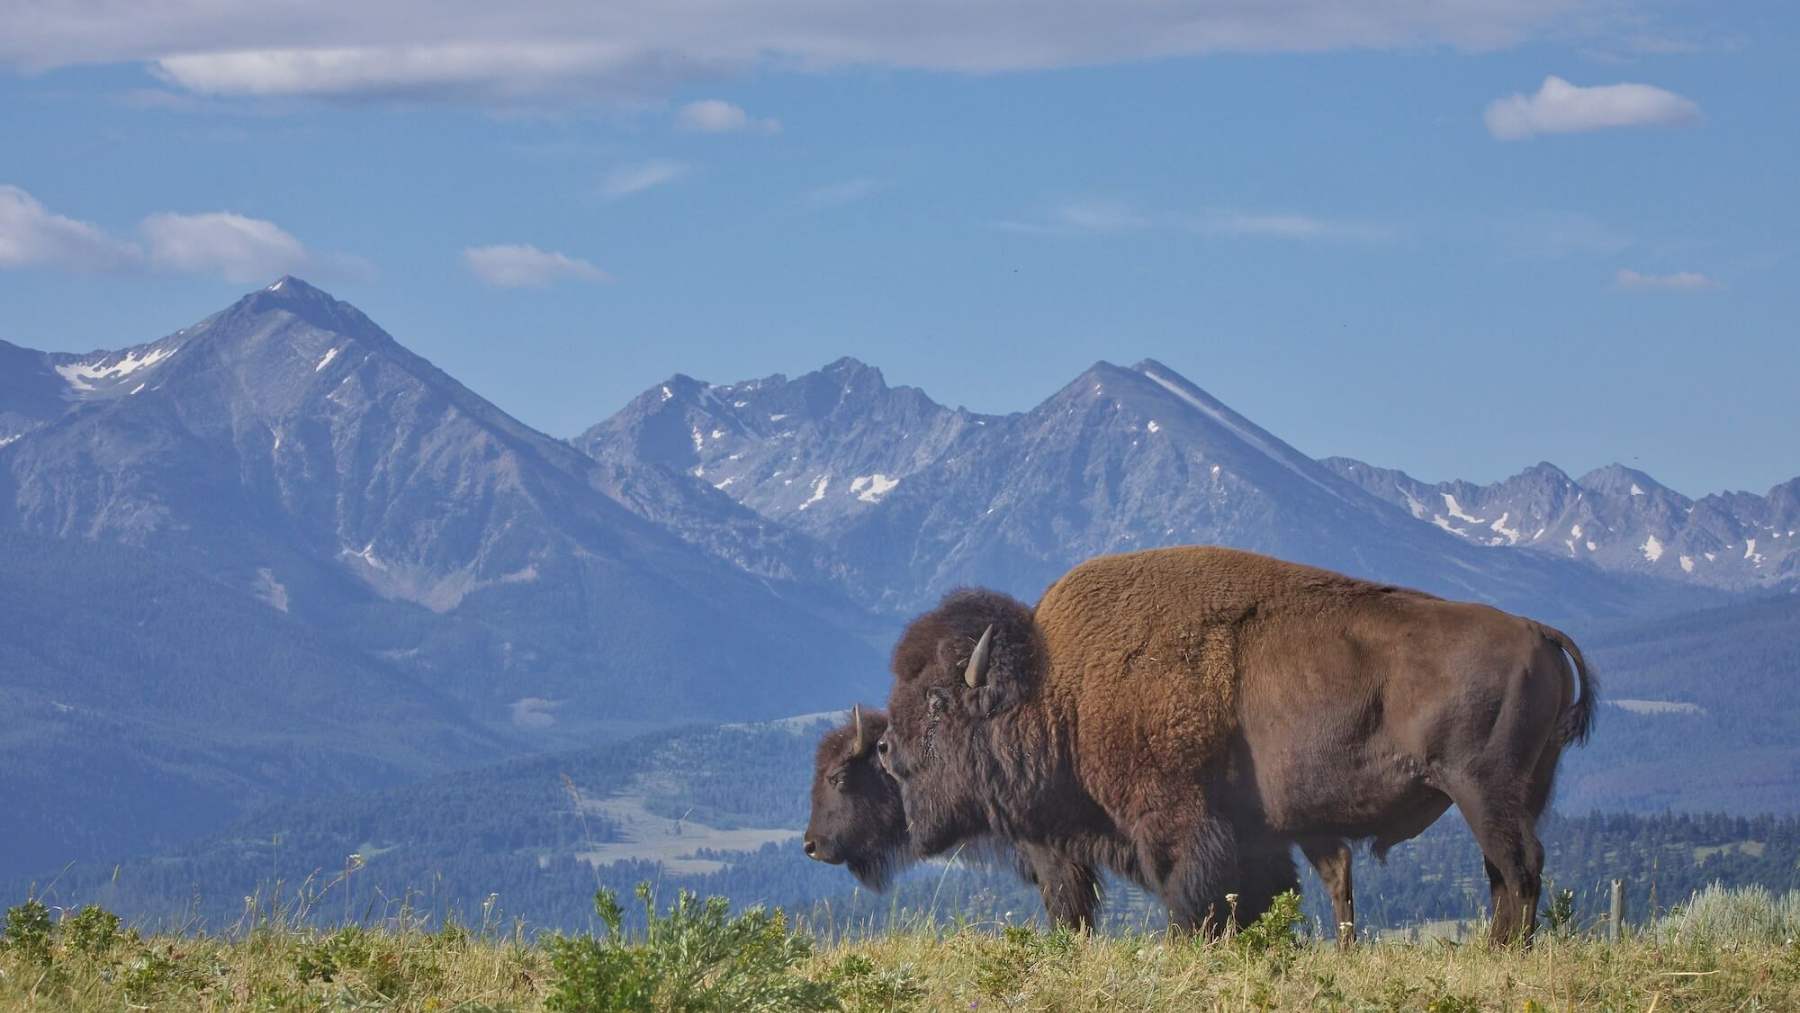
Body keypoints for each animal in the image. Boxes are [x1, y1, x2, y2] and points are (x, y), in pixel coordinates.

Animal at [878, 546, 1595, 943]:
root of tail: (1535, 628)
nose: (885, 749)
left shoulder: (1177, 825)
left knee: (1517, 867)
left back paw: (1501, 951)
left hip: (1483, 790)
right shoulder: (1257, 837)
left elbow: (1195, 899)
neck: (1059, 689)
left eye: (938, 703)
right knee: (1507, 872)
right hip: (1519, 792)